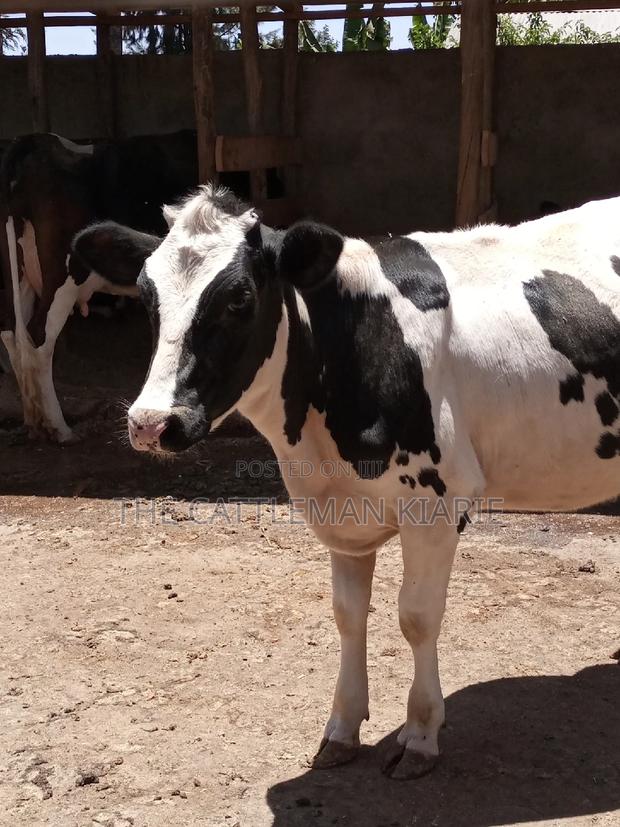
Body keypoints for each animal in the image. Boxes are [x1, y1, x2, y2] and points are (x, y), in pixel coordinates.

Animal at [72, 186, 620, 779]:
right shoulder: (340, 512)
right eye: (147, 296)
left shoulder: (437, 503)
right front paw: (342, 729)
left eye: (240, 298)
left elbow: (417, 618)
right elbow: (348, 616)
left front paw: (421, 734)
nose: (150, 424)